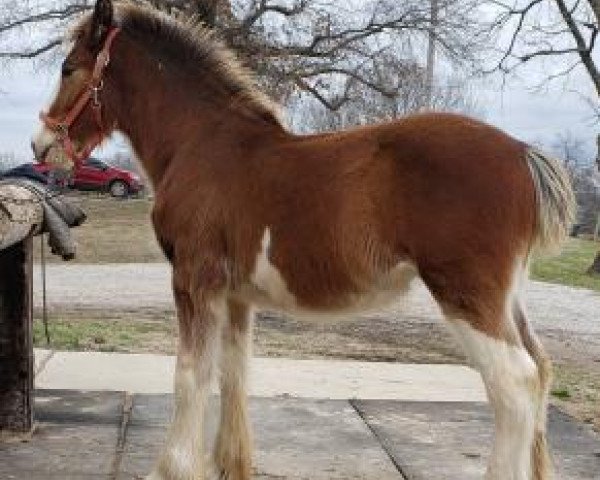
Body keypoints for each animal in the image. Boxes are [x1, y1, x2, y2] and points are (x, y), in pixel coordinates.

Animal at [30, 1, 576, 478]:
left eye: (68, 67)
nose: (41, 146)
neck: (201, 143)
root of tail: (523, 153)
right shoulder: (235, 296)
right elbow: (233, 373)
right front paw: (230, 465)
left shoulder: (193, 279)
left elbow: (190, 374)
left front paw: (172, 468)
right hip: (506, 297)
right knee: (543, 369)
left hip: (466, 294)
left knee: (515, 383)